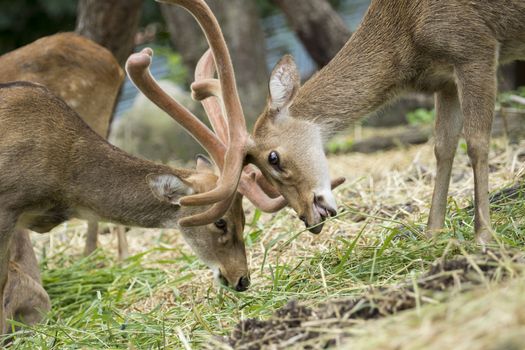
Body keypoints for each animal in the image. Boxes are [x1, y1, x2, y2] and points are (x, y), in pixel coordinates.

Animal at [159, 0, 524, 243]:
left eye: (273, 158)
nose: (310, 219)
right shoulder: (444, 80)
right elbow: (443, 148)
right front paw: (432, 234)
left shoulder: (474, 48)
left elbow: (476, 143)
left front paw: (484, 236)